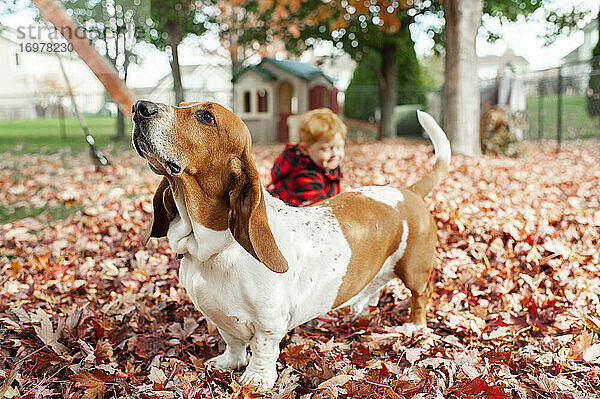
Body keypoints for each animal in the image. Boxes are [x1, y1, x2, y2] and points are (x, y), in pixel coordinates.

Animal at [131, 101, 450, 390]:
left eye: (206, 117)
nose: (138, 107)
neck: (214, 250)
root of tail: (408, 191)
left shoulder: (269, 324)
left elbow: (262, 351)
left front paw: (256, 379)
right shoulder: (220, 319)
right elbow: (233, 343)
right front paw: (228, 363)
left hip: (413, 269)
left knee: (421, 294)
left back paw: (414, 326)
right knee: (377, 285)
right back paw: (361, 308)